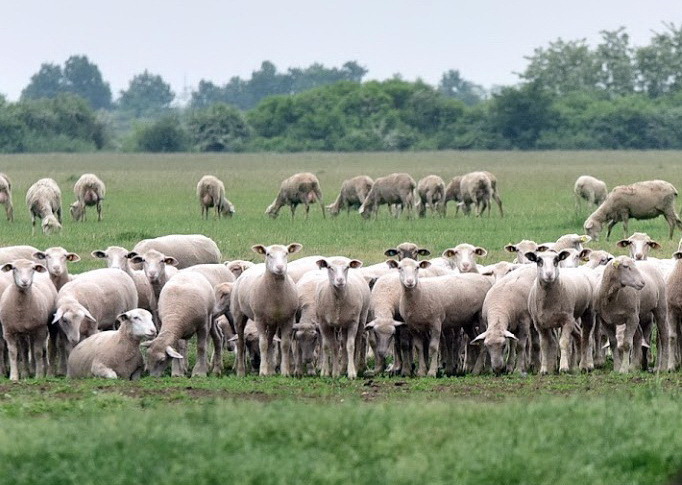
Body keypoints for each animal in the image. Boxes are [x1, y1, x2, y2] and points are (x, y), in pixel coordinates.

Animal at [230, 242, 302, 374]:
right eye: (268, 254)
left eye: (286, 253)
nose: (280, 267)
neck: (276, 295)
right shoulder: (259, 319)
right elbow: (262, 344)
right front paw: (263, 371)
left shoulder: (288, 319)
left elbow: (284, 344)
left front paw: (284, 372)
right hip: (238, 314)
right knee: (241, 342)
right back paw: (241, 371)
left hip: (273, 321)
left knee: (270, 340)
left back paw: (271, 370)